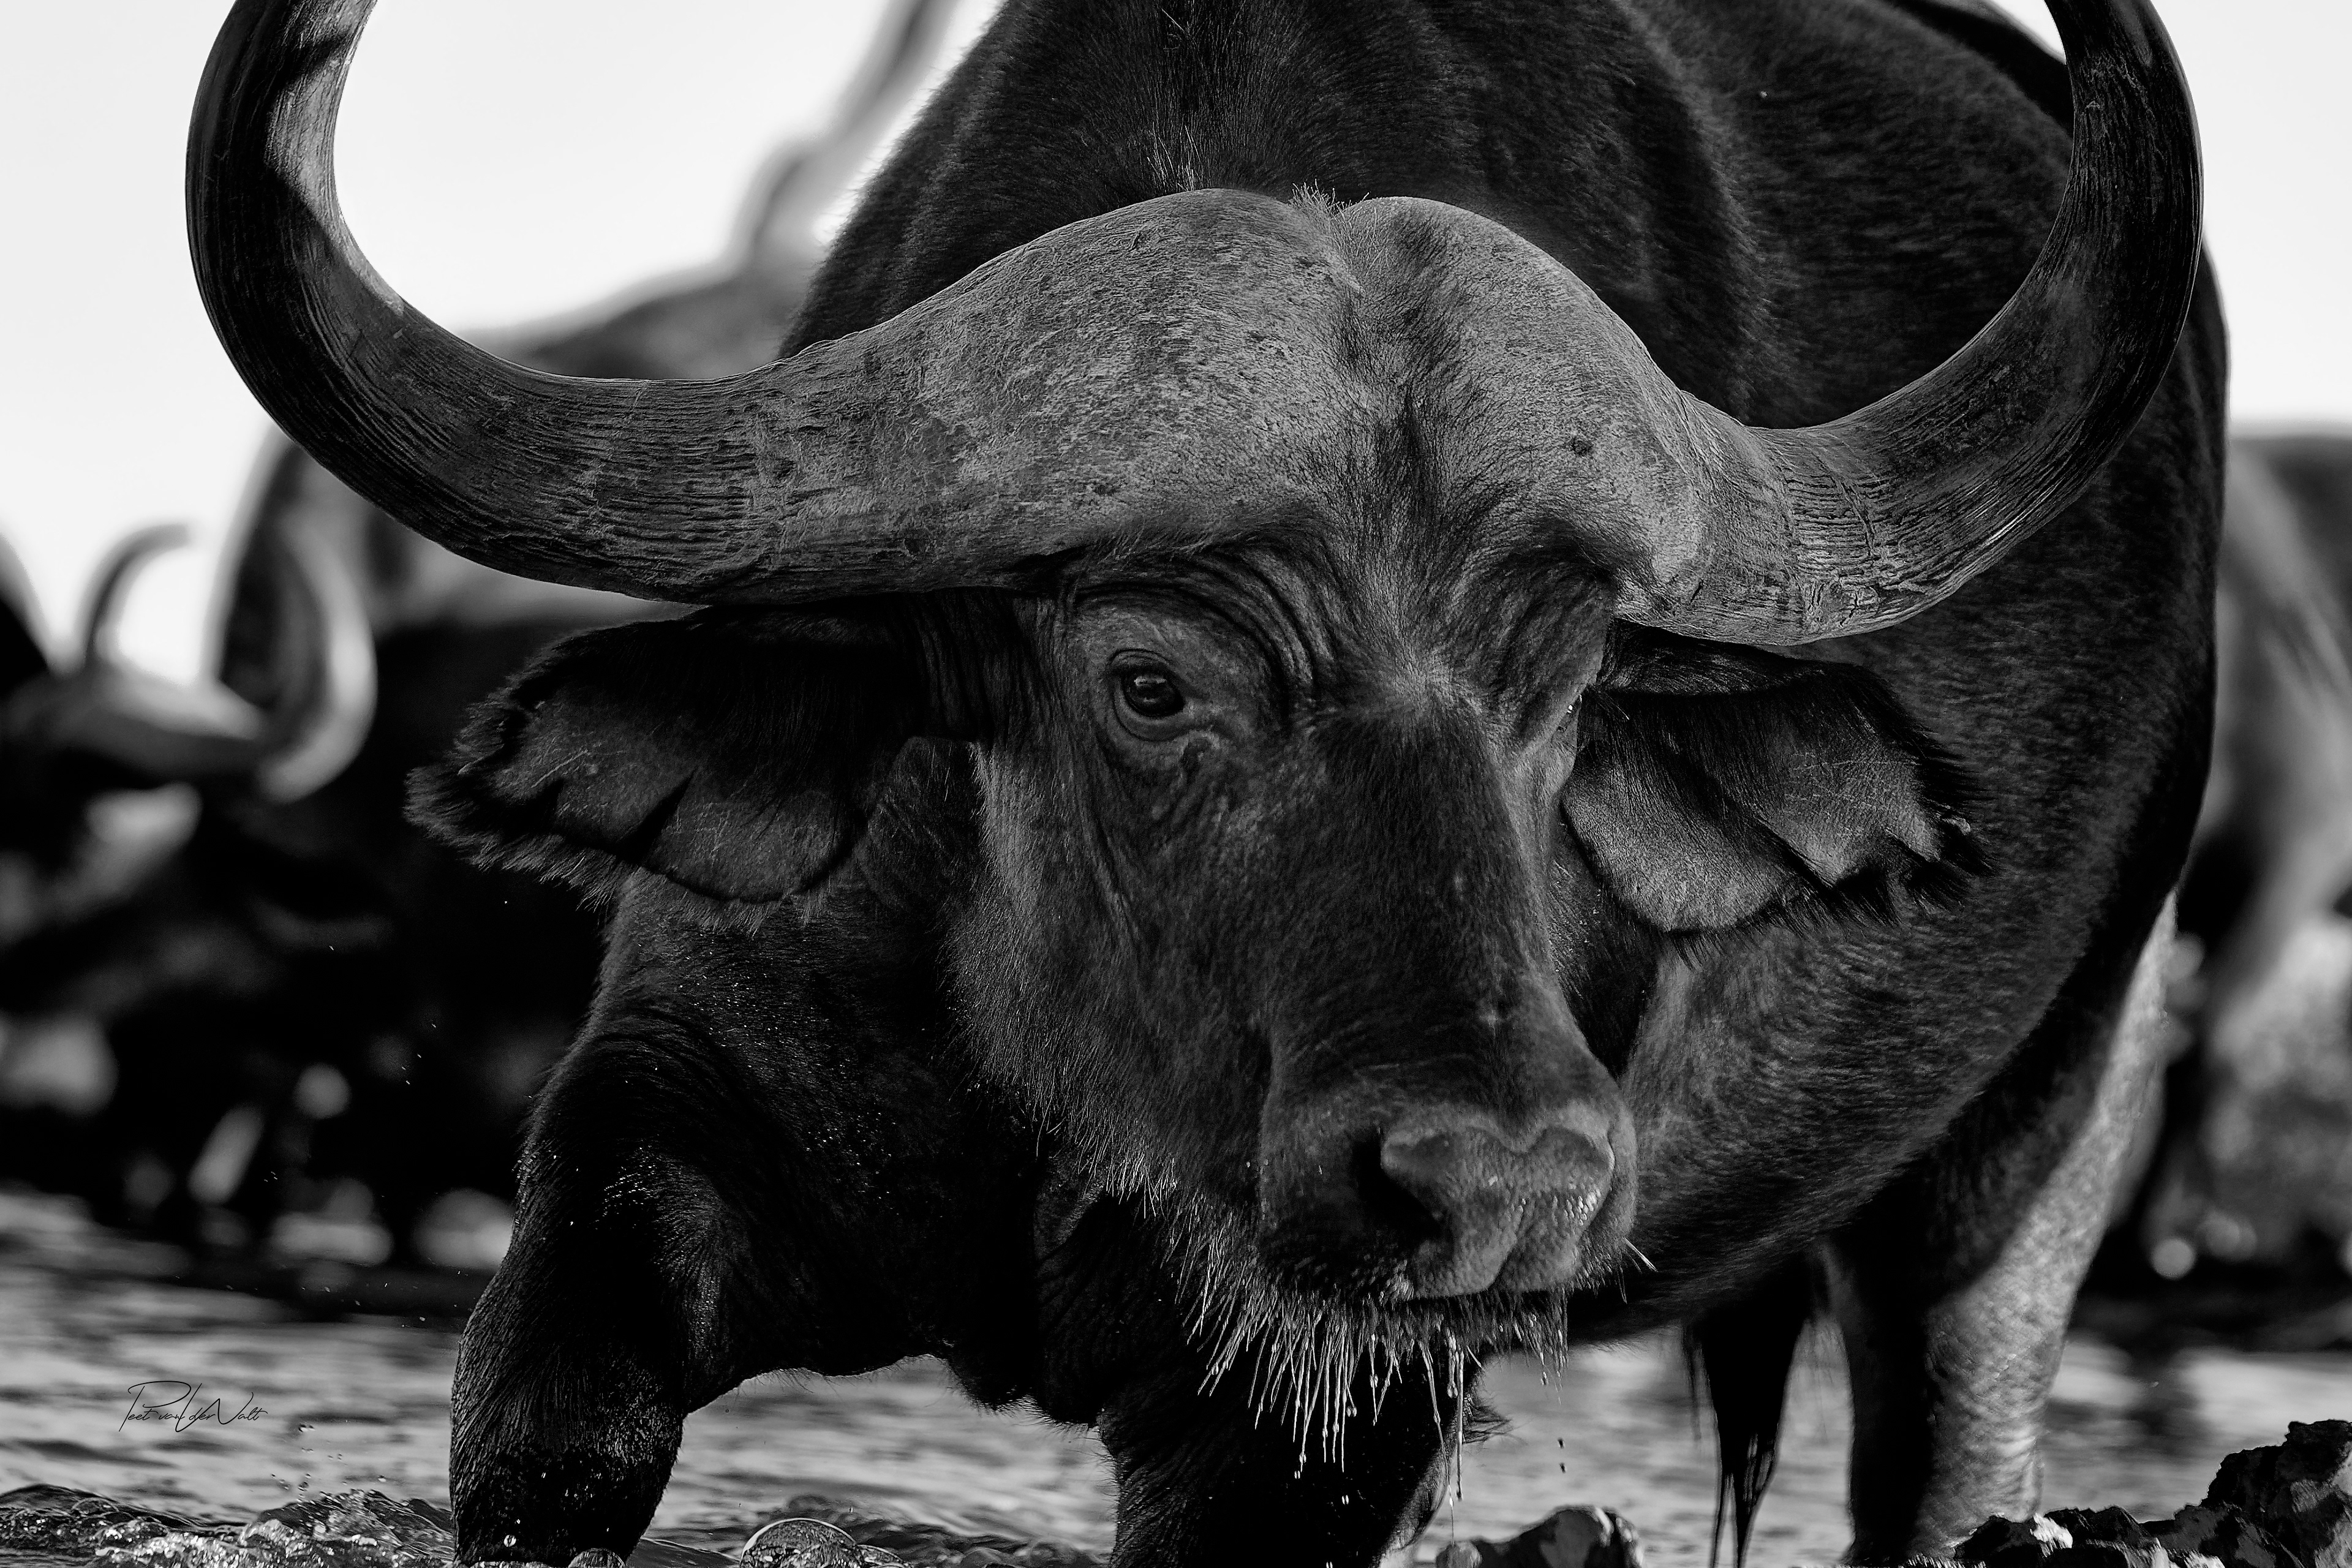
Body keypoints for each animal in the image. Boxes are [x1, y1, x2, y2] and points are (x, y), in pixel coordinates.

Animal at [188, 0, 2222, 1562]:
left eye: (1561, 696)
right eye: (1150, 682)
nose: (1499, 1182)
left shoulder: (1341, 1402)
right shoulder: (665, 1106)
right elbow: (554, 1425)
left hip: (2034, 1158)